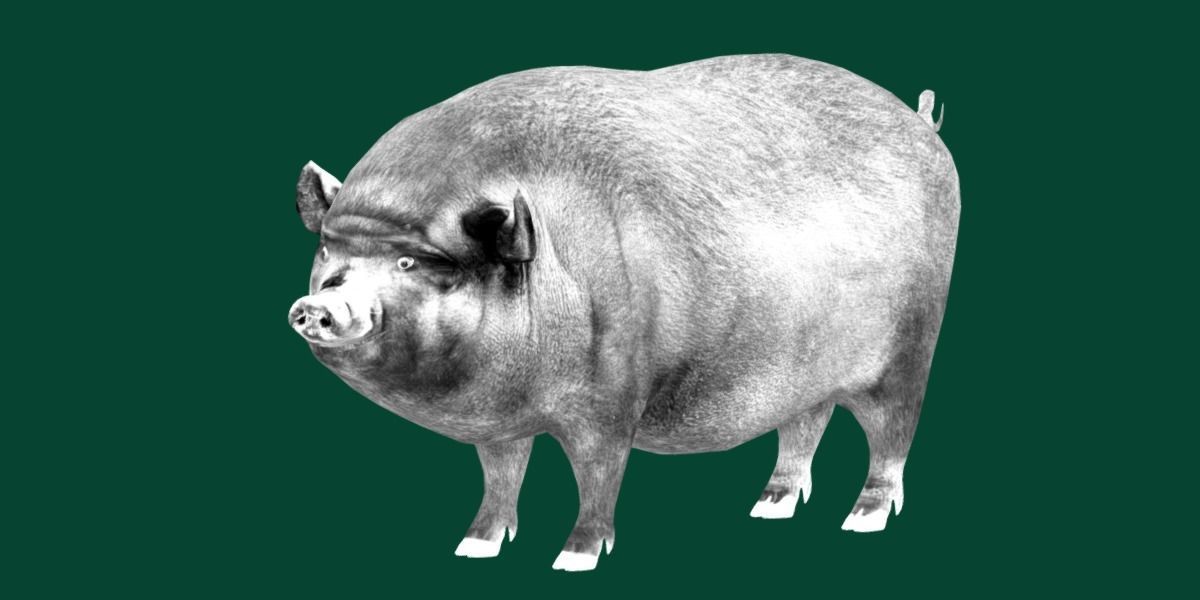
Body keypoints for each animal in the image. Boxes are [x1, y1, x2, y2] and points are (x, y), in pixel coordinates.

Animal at [288, 54, 959, 571]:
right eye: (328, 249)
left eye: (413, 262)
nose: (317, 306)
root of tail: (922, 123)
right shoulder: (499, 421)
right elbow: (501, 474)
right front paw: (473, 547)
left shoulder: (612, 394)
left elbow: (599, 472)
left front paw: (574, 559)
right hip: (806, 370)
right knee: (805, 425)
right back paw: (769, 506)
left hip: (910, 347)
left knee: (893, 432)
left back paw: (863, 520)